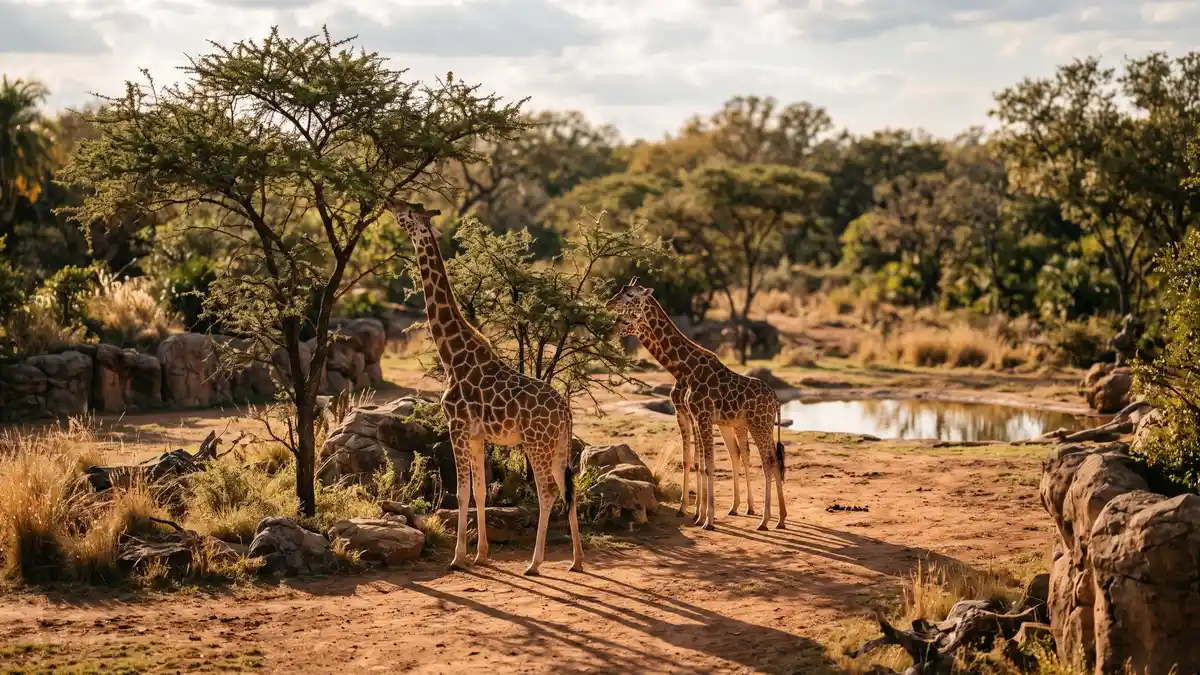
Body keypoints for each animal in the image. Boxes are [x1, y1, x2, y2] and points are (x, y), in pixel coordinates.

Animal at [387, 199, 583, 575]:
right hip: (558, 447)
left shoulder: (458, 426)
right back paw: (577, 561)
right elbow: (479, 491)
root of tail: (566, 412)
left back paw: (535, 563)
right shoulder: (478, 435)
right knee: (569, 489)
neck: (452, 353)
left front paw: (457, 558)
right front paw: (480, 554)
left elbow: (462, 492)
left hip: (535, 444)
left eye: (408, 210)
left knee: (548, 492)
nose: (388, 201)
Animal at [605, 279, 787, 531]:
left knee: (767, 461)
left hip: (757, 424)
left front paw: (707, 520)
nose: (608, 304)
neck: (687, 369)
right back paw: (778, 518)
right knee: (767, 458)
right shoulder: (694, 416)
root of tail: (776, 400)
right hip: (757, 426)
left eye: (630, 297)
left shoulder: (701, 416)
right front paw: (697, 515)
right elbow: (696, 462)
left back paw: (763, 519)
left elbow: (707, 465)